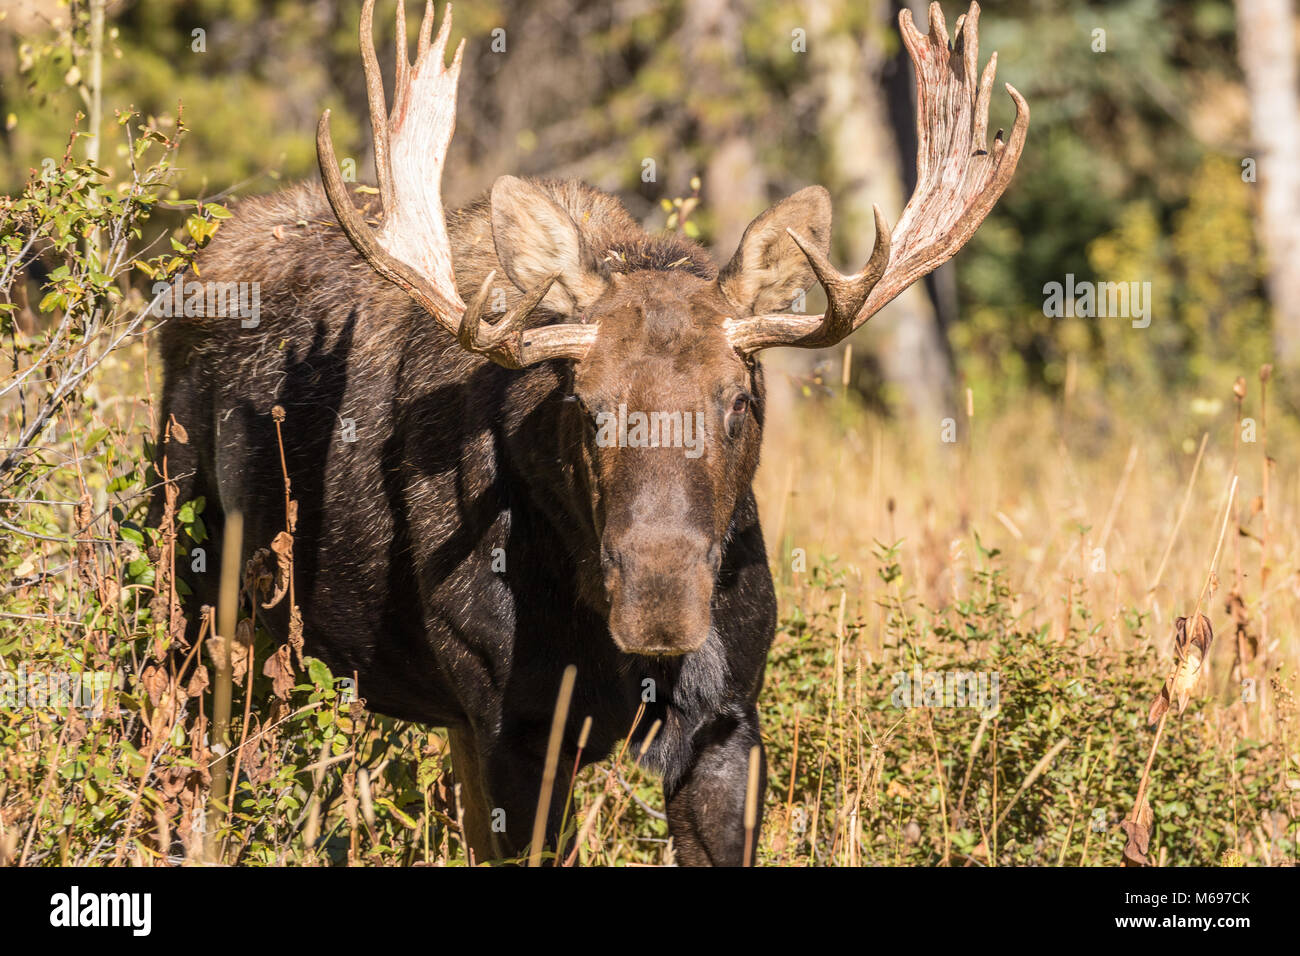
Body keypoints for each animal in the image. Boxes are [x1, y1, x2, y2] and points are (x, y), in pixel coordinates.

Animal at [152, 0, 1024, 868]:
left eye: (739, 399)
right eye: (584, 401)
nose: (660, 601)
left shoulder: (728, 719)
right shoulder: (515, 725)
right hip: (199, 599)